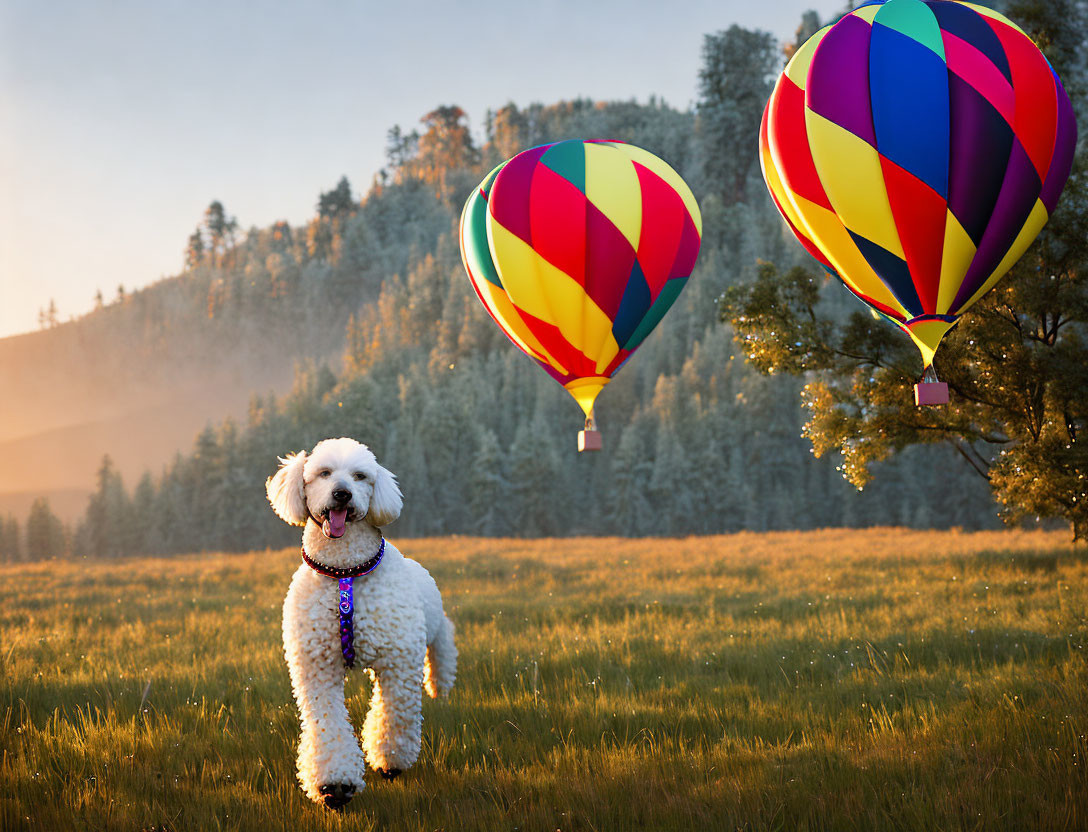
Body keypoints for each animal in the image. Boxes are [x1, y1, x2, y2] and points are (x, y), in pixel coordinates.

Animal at [265, 437, 456, 809]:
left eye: (360, 476)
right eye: (324, 473)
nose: (342, 494)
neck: (345, 573)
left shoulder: (398, 662)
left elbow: (394, 714)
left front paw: (390, 761)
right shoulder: (316, 667)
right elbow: (327, 723)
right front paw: (335, 785)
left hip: (434, 625)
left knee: (444, 643)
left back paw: (440, 682)